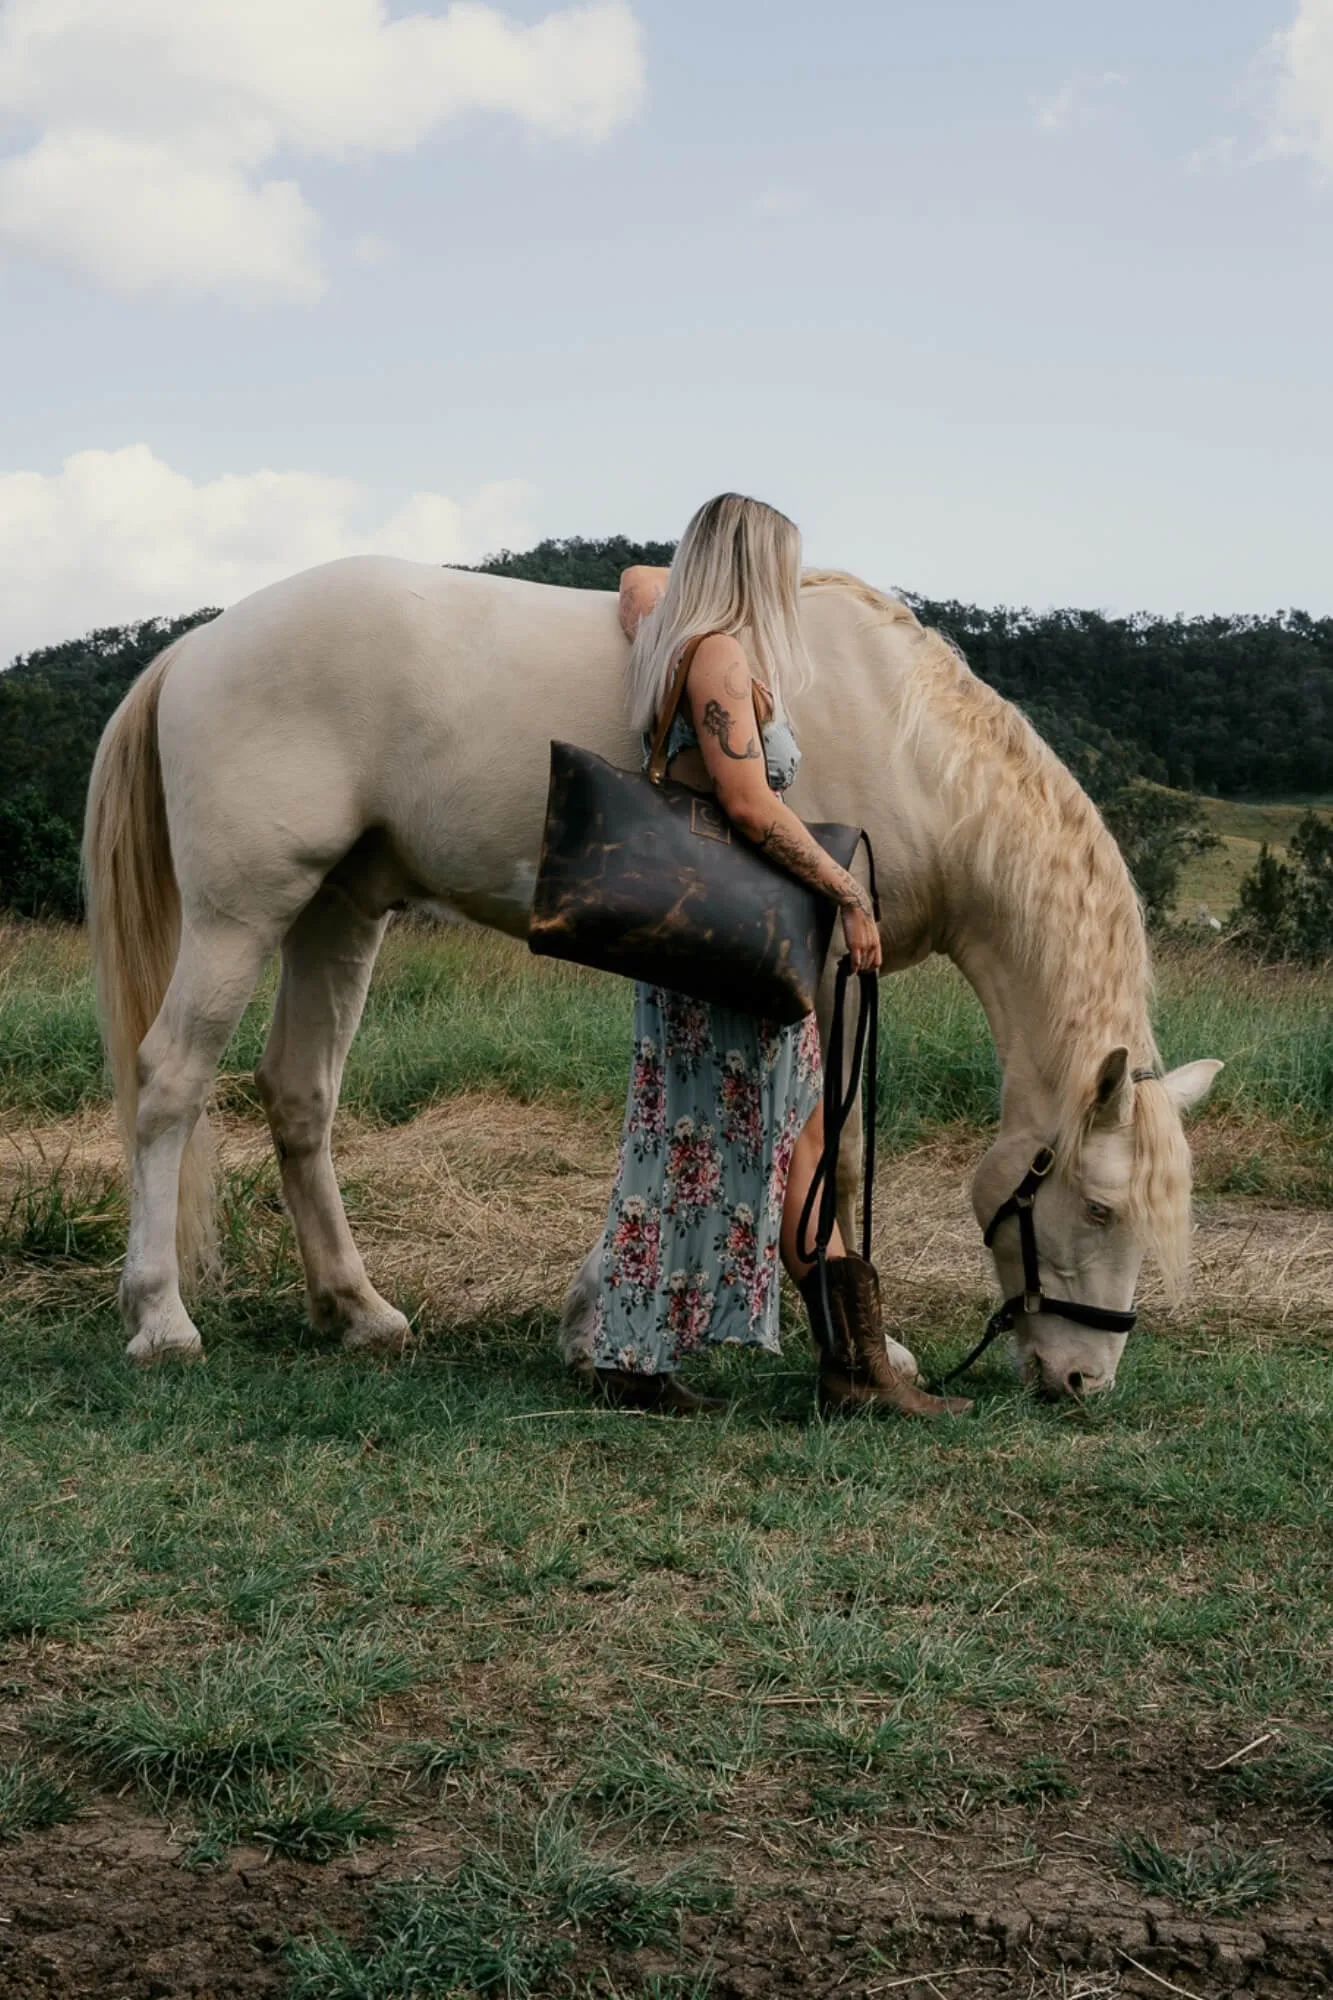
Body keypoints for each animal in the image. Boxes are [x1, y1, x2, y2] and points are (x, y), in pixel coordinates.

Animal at [85, 552, 1216, 1392]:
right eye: (1100, 1207)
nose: (1084, 1379)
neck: (914, 749)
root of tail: (198, 645)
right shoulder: (827, 979)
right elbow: (834, 1151)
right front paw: (868, 1343)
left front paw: (598, 1316)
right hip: (240, 914)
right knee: (169, 1083)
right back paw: (162, 1319)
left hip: (337, 913)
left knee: (299, 1095)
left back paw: (357, 1310)